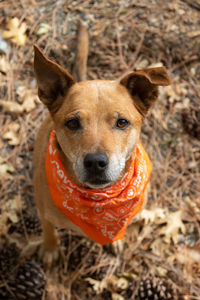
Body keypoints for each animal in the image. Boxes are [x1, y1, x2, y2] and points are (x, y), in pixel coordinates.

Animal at [32, 24, 170, 266]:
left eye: (122, 122)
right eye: (73, 123)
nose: (96, 162)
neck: (98, 201)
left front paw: (115, 241)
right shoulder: (43, 210)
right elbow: (48, 229)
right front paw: (50, 249)